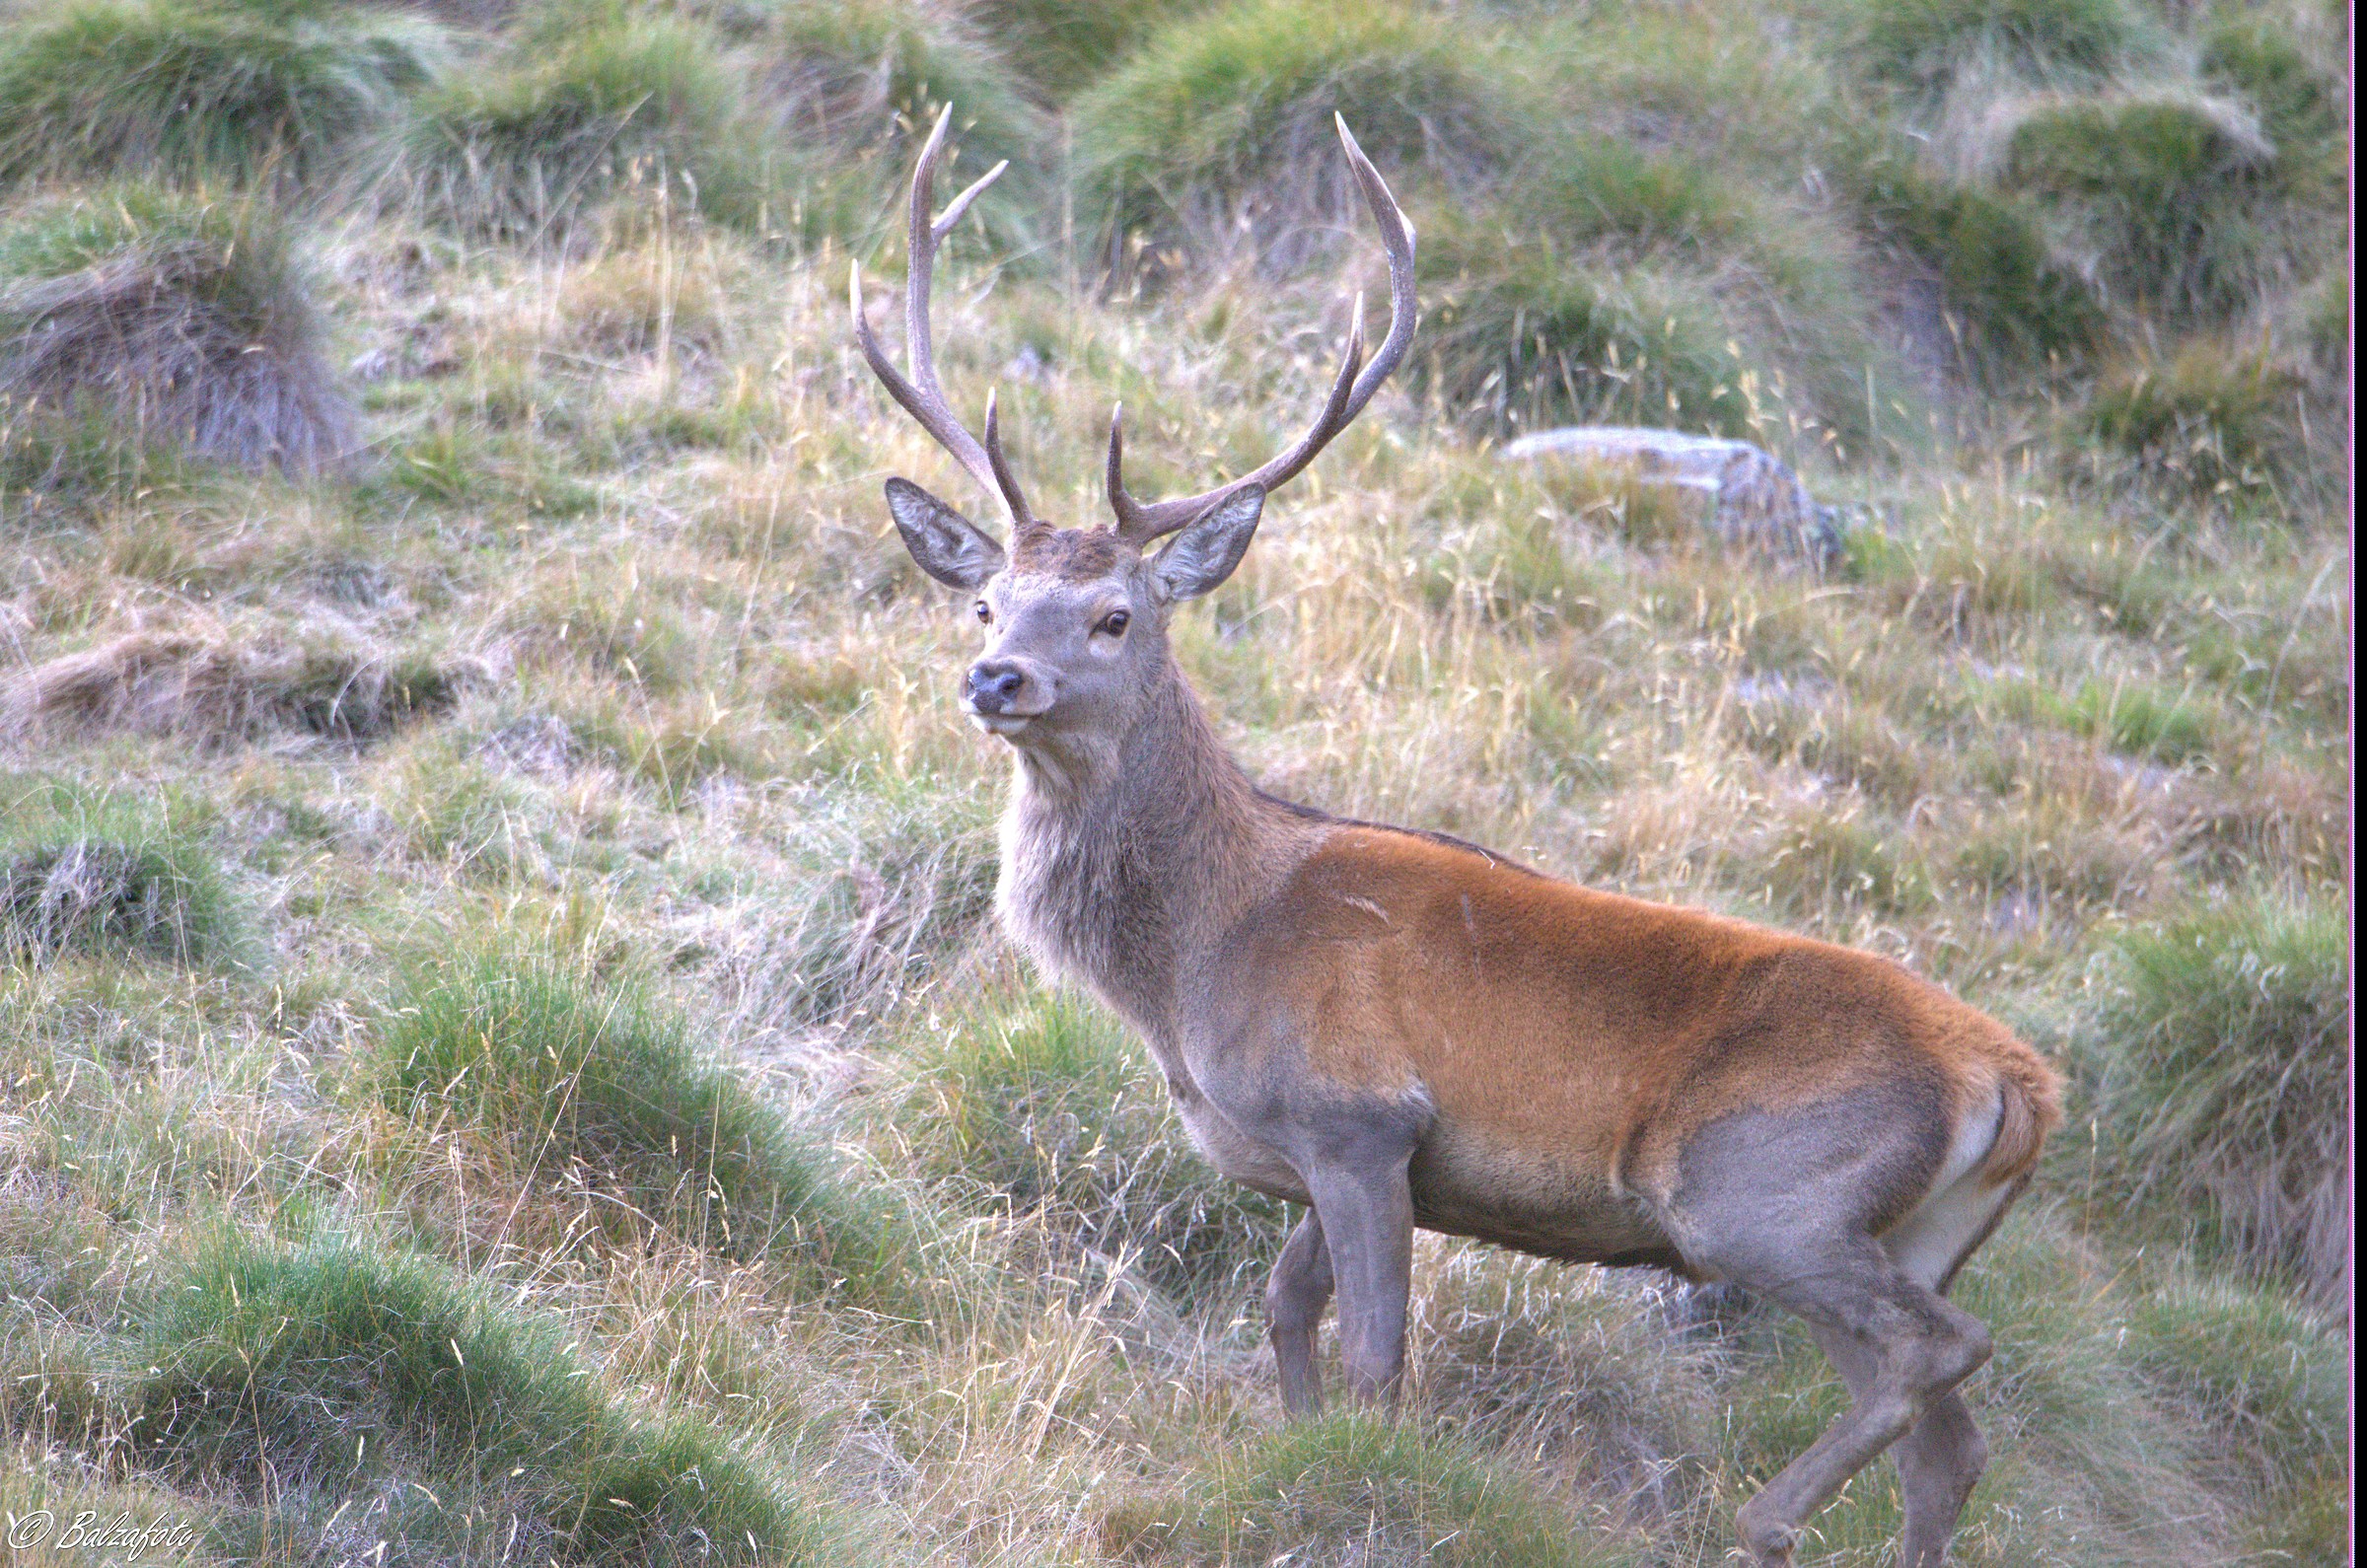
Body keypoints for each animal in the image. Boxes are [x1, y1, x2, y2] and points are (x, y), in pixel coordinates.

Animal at [848, 105, 2064, 1568]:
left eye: (1114, 616)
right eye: (984, 603)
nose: (997, 680)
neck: (1195, 962)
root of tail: (2016, 1085)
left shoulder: (1361, 1117)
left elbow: (1376, 1355)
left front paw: (1364, 1491)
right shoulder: (1336, 1159)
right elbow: (1283, 1312)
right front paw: (1294, 1451)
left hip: (1765, 1192)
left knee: (1936, 1353)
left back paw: (1760, 1517)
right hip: (1912, 1225)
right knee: (1952, 1435)